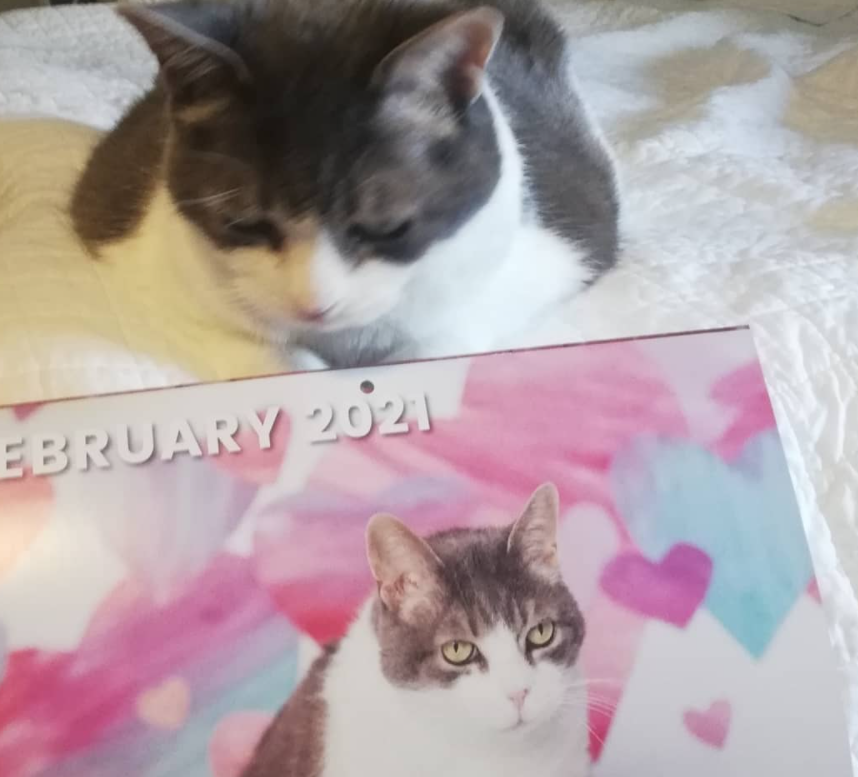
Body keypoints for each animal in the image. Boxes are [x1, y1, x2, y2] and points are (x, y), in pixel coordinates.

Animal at [72, 0, 616, 370]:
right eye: (243, 223)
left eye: (389, 227)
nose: (314, 306)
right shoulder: (153, 274)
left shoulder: (542, 258)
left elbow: (437, 343)